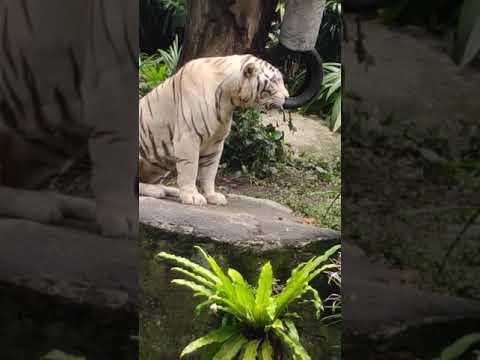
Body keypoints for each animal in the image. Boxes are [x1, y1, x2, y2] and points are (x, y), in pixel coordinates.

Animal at [139, 53, 288, 205]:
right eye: (274, 80)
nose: (287, 97)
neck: (228, 99)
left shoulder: (215, 142)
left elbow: (210, 171)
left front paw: (212, 195)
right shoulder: (188, 136)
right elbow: (190, 168)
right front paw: (192, 196)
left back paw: (170, 190)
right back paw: (156, 191)